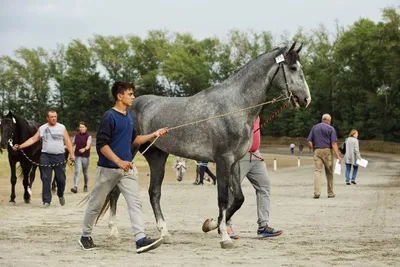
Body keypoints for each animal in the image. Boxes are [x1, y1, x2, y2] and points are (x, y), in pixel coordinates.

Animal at [98, 42, 310, 249]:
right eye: (293, 68)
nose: (305, 99)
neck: (234, 106)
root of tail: (127, 107)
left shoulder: (234, 162)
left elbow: (238, 198)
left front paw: (210, 224)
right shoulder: (223, 160)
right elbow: (223, 198)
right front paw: (224, 236)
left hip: (157, 156)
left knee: (154, 193)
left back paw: (165, 234)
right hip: (127, 155)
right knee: (116, 191)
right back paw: (114, 233)